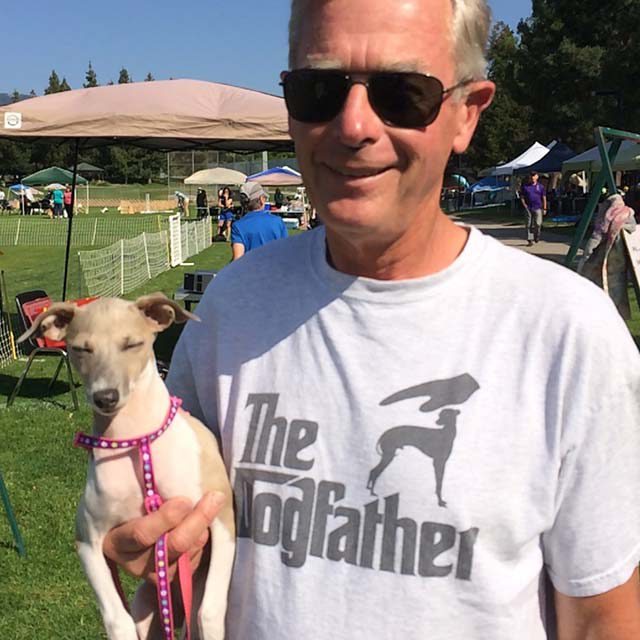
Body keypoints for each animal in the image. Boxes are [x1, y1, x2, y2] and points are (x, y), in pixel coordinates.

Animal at [21, 296, 238, 640]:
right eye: (81, 349)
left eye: (133, 344)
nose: (105, 397)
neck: (136, 442)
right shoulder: (88, 540)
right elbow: (116, 618)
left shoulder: (222, 517)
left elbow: (209, 610)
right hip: (147, 608)